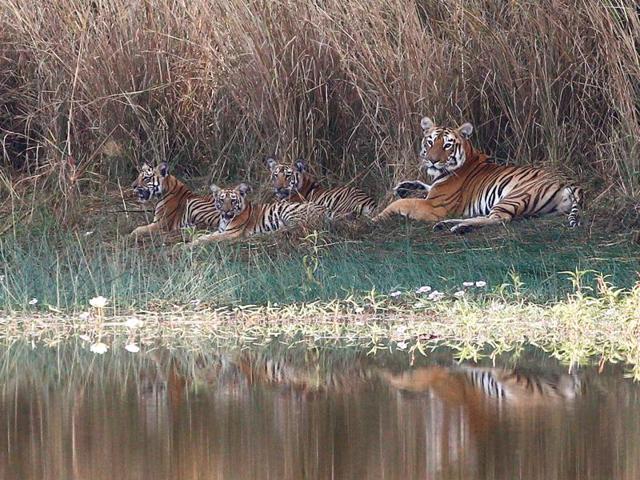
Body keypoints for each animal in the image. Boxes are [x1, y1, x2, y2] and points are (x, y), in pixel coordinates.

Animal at [189, 182, 326, 245]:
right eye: (222, 200)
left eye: (233, 200)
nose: (226, 211)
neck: (225, 219)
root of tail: (325, 210)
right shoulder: (221, 230)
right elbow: (204, 236)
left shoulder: (231, 233)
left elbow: (209, 238)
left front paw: (188, 245)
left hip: (289, 211)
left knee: (291, 228)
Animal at [373, 117, 583, 233]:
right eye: (430, 141)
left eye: (447, 145)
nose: (432, 160)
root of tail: (570, 181)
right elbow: (422, 186)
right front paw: (404, 187)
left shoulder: (434, 206)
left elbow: (400, 204)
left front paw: (376, 218)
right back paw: (447, 225)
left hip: (515, 196)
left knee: (499, 219)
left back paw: (458, 227)